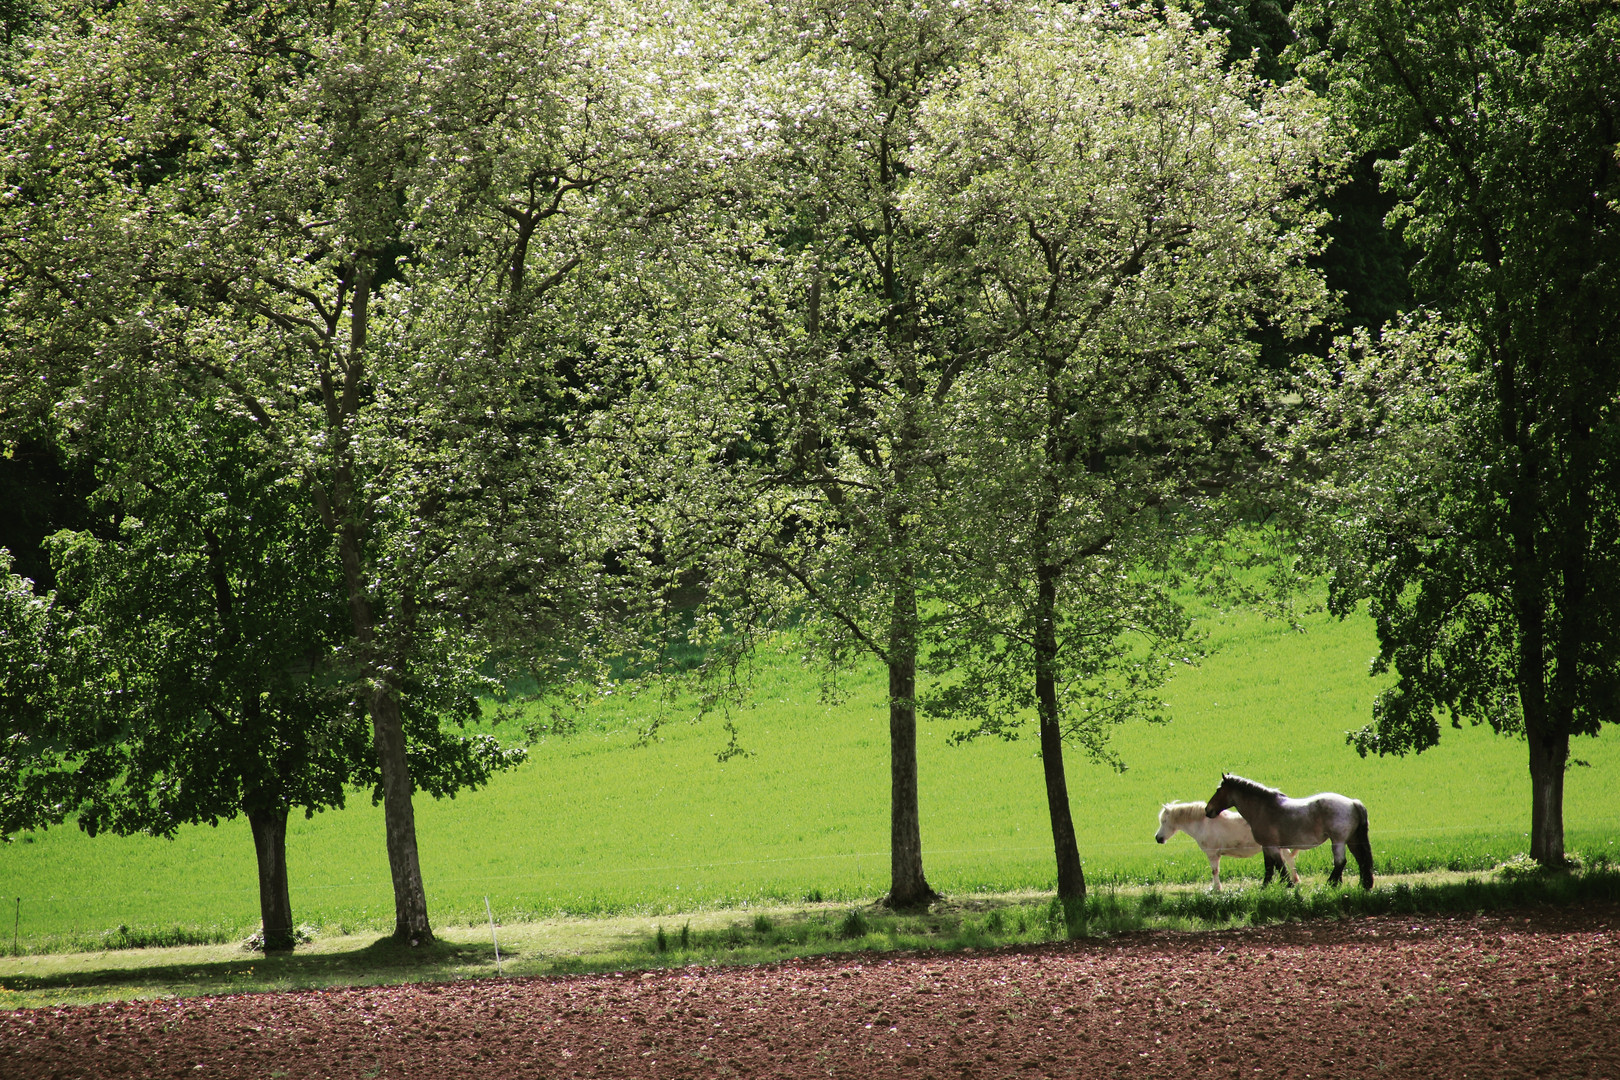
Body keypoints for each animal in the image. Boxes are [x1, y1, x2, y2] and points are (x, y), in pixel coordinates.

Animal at [1159, 799, 1296, 893]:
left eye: (1164, 821)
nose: (1158, 838)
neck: (1203, 824)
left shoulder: (1212, 854)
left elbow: (1214, 871)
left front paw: (1216, 889)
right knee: (1287, 859)